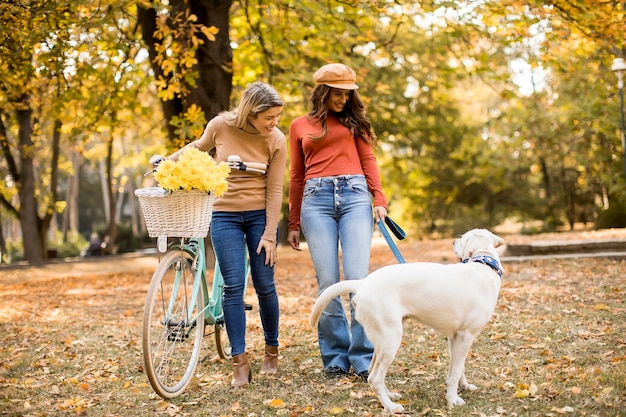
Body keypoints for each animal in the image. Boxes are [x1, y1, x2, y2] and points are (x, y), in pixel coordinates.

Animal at [310, 228, 504, 412]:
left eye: (463, 239)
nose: (453, 241)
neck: (484, 263)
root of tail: (363, 283)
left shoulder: (455, 337)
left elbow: (458, 367)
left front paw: (463, 386)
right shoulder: (466, 336)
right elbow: (455, 372)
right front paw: (452, 400)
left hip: (382, 341)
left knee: (373, 370)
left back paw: (390, 396)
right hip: (392, 339)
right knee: (375, 377)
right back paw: (390, 407)